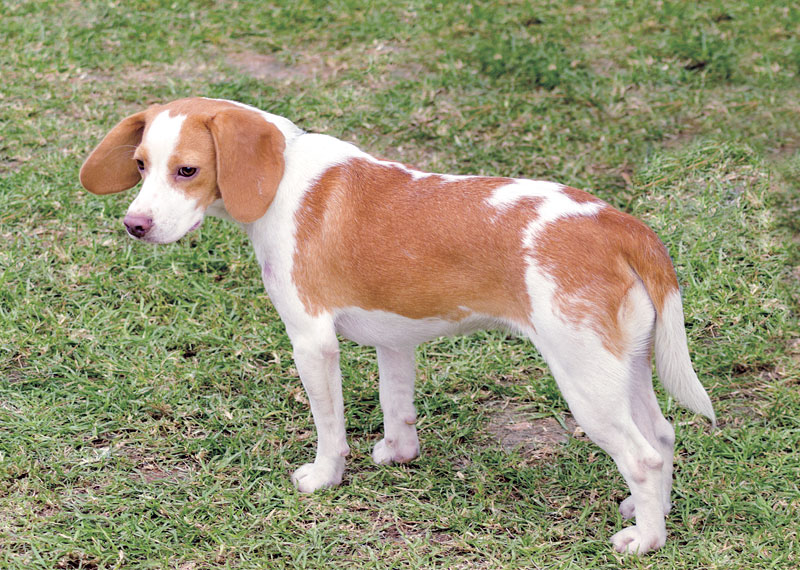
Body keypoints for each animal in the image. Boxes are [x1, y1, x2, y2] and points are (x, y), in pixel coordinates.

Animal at [81, 96, 716, 552]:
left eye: (187, 170)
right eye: (140, 166)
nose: (135, 225)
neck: (282, 175)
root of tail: (619, 225)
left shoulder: (311, 341)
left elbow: (330, 428)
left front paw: (324, 478)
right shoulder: (396, 340)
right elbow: (396, 403)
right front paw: (396, 453)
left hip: (585, 381)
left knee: (643, 456)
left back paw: (646, 539)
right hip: (623, 369)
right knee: (663, 436)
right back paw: (650, 510)